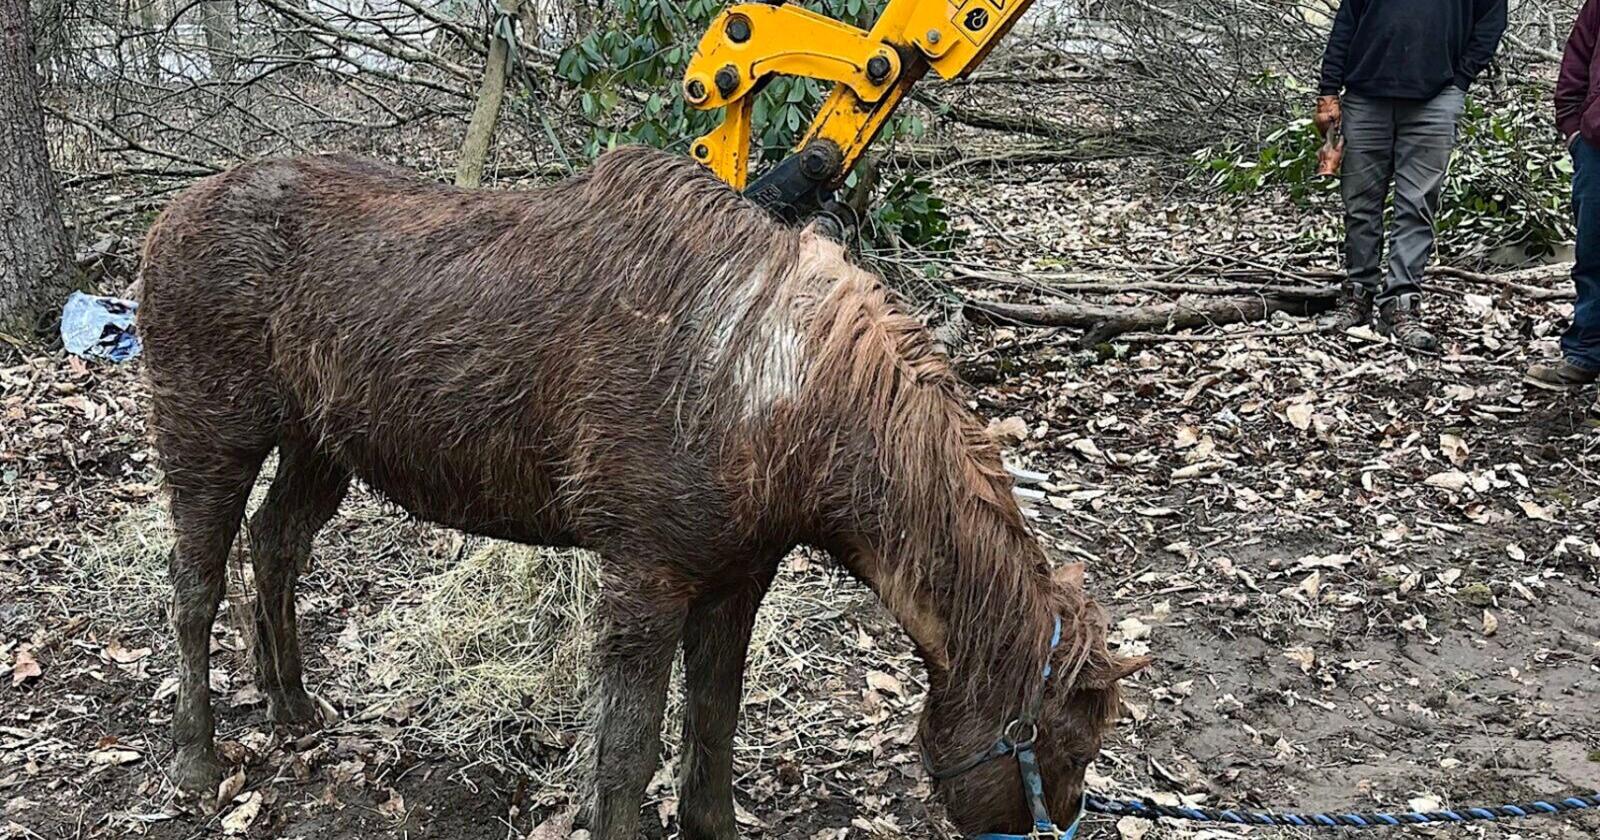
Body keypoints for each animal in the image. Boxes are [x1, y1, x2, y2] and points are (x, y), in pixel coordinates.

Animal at [136, 146, 1149, 838]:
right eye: (1069, 747)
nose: (1053, 822)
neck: (782, 400)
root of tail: (165, 221)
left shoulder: (735, 582)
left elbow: (711, 727)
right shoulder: (645, 579)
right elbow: (627, 756)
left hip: (318, 450)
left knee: (275, 548)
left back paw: (292, 707)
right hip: (208, 440)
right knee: (194, 588)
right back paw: (195, 757)